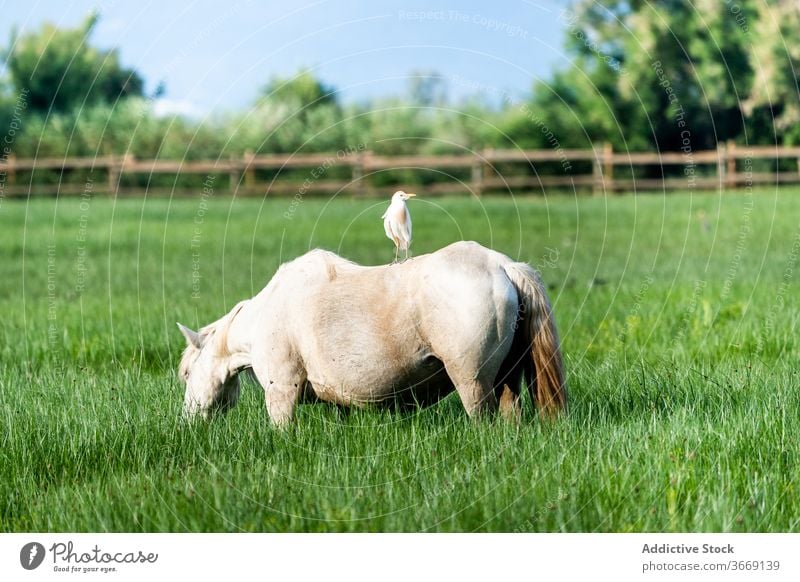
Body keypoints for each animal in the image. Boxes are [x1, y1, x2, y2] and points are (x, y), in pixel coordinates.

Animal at [180, 240, 568, 426]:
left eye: (185, 374)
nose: (188, 422)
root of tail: (501, 265)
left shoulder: (281, 393)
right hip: (507, 380)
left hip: (472, 381)